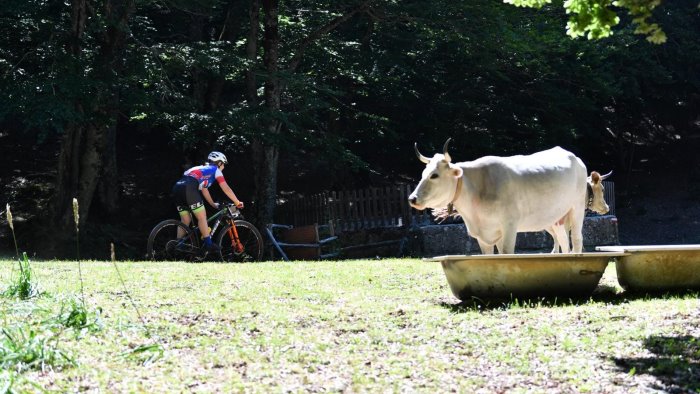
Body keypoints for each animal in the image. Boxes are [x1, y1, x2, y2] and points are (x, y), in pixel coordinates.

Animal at [408, 140, 588, 254]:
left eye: (434, 175)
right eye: (423, 173)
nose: (412, 199)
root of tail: (574, 157)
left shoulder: (509, 225)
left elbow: (507, 253)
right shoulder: (483, 235)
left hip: (577, 208)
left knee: (577, 240)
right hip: (557, 218)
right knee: (564, 242)